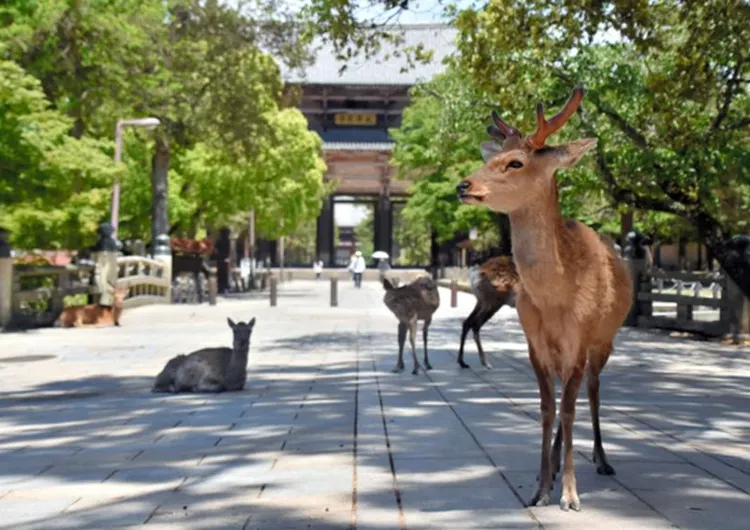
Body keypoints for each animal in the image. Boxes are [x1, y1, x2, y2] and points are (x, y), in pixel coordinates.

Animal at [458, 84, 636, 510]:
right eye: (490, 158)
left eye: (515, 162)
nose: (463, 185)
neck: (556, 298)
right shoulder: (535, 343)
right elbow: (545, 409)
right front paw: (539, 488)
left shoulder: (580, 340)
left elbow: (569, 410)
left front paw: (570, 496)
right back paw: (555, 466)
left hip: (605, 340)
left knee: (592, 392)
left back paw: (601, 460)